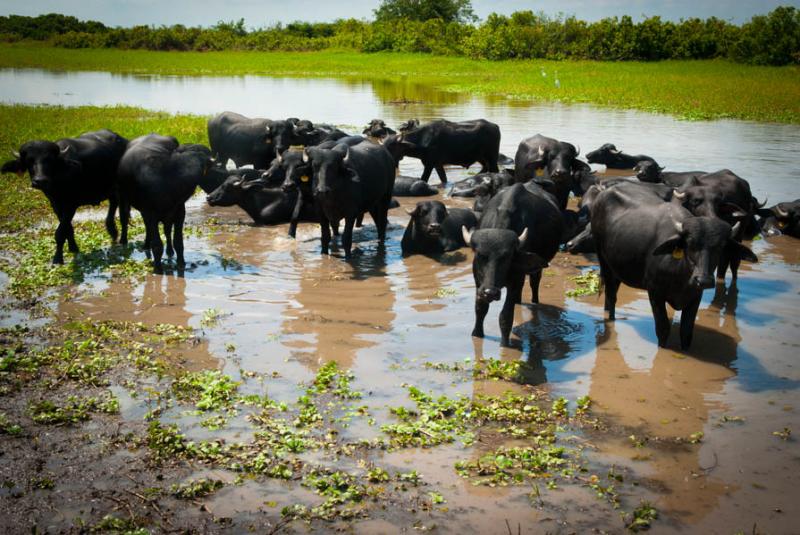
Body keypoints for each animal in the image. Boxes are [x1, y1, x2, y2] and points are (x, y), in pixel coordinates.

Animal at [1, 129, 127, 264]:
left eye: (49, 160)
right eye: (29, 161)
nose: (40, 181)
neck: (59, 179)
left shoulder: (71, 205)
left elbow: (60, 232)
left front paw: (57, 258)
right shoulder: (55, 204)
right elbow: (67, 229)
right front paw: (73, 248)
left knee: (123, 214)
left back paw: (122, 239)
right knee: (114, 203)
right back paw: (112, 231)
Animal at [115, 134, 214, 272]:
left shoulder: (179, 212)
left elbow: (178, 242)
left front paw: (181, 263)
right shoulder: (150, 213)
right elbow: (157, 245)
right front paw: (158, 269)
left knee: (165, 230)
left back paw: (168, 250)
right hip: (123, 197)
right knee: (125, 217)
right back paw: (128, 242)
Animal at [462, 182, 564, 346]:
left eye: (507, 256)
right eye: (480, 255)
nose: (490, 292)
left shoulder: (515, 281)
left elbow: (506, 316)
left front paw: (505, 343)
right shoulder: (479, 282)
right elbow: (480, 308)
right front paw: (477, 334)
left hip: (536, 269)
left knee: (534, 284)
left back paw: (534, 302)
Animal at [592, 184, 760, 352]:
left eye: (720, 247)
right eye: (690, 244)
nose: (703, 280)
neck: (682, 275)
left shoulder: (695, 296)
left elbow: (686, 331)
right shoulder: (655, 293)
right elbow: (663, 328)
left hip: (617, 268)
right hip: (603, 261)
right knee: (611, 295)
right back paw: (611, 318)